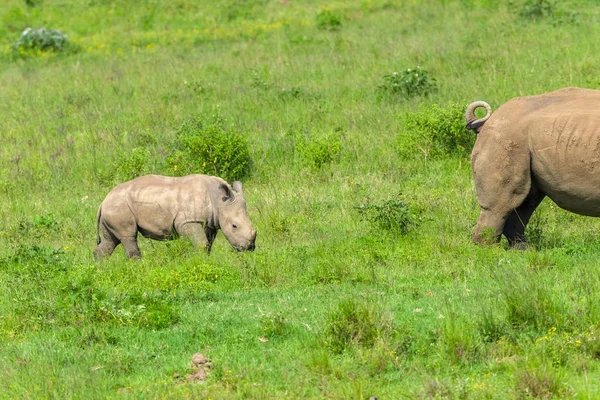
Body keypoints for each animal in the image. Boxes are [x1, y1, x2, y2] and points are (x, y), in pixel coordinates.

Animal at [94, 175, 255, 260]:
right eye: (234, 226)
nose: (249, 248)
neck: (218, 201)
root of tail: (103, 201)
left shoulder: (210, 223)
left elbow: (208, 244)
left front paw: (206, 260)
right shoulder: (189, 221)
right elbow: (202, 244)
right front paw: (200, 260)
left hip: (113, 207)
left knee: (110, 240)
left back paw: (100, 267)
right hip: (119, 207)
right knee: (129, 237)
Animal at [466, 87, 600, 247]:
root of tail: (490, 120)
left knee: (527, 200)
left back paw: (523, 250)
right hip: (503, 138)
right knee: (500, 206)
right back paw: (488, 251)